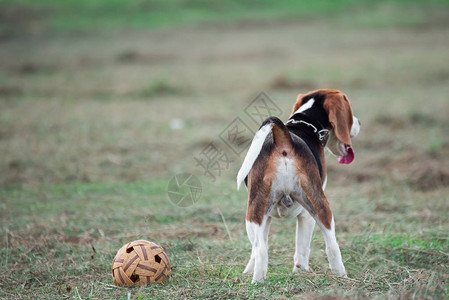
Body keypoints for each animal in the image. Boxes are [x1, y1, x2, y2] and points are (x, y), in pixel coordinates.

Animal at [236, 89, 358, 284]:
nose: (358, 123)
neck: (305, 124)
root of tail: (283, 139)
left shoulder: (267, 216)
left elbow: (258, 251)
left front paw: (248, 272)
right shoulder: (305, 216)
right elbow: (302, 246)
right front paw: (301, 272)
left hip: (254, 213)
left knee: (260, 249)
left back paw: (258, 281)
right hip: (316, 205)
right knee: (331, 245)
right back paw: (339, 275)